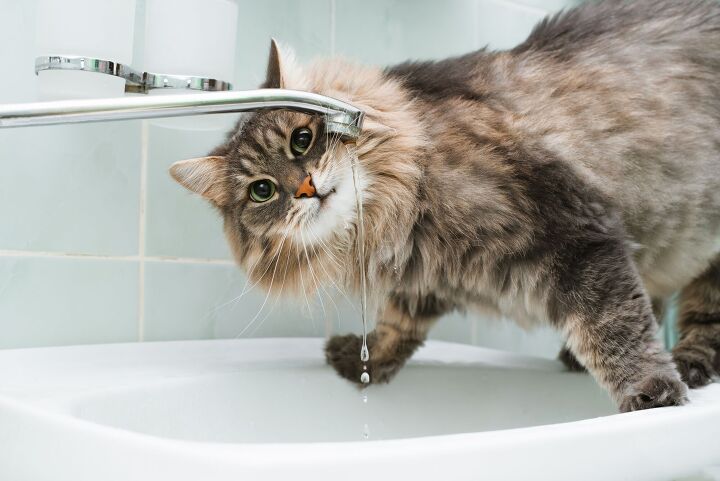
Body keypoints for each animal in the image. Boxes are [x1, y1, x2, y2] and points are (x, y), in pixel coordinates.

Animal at [170, 0, 720, 412]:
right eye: (262, 190)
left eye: (301, 140)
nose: (306, 189)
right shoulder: (428, 277)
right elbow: (396, 326)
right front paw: (362, 362)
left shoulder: (578, 233)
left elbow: (614, 326)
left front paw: (651, 392)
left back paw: (687, 365)